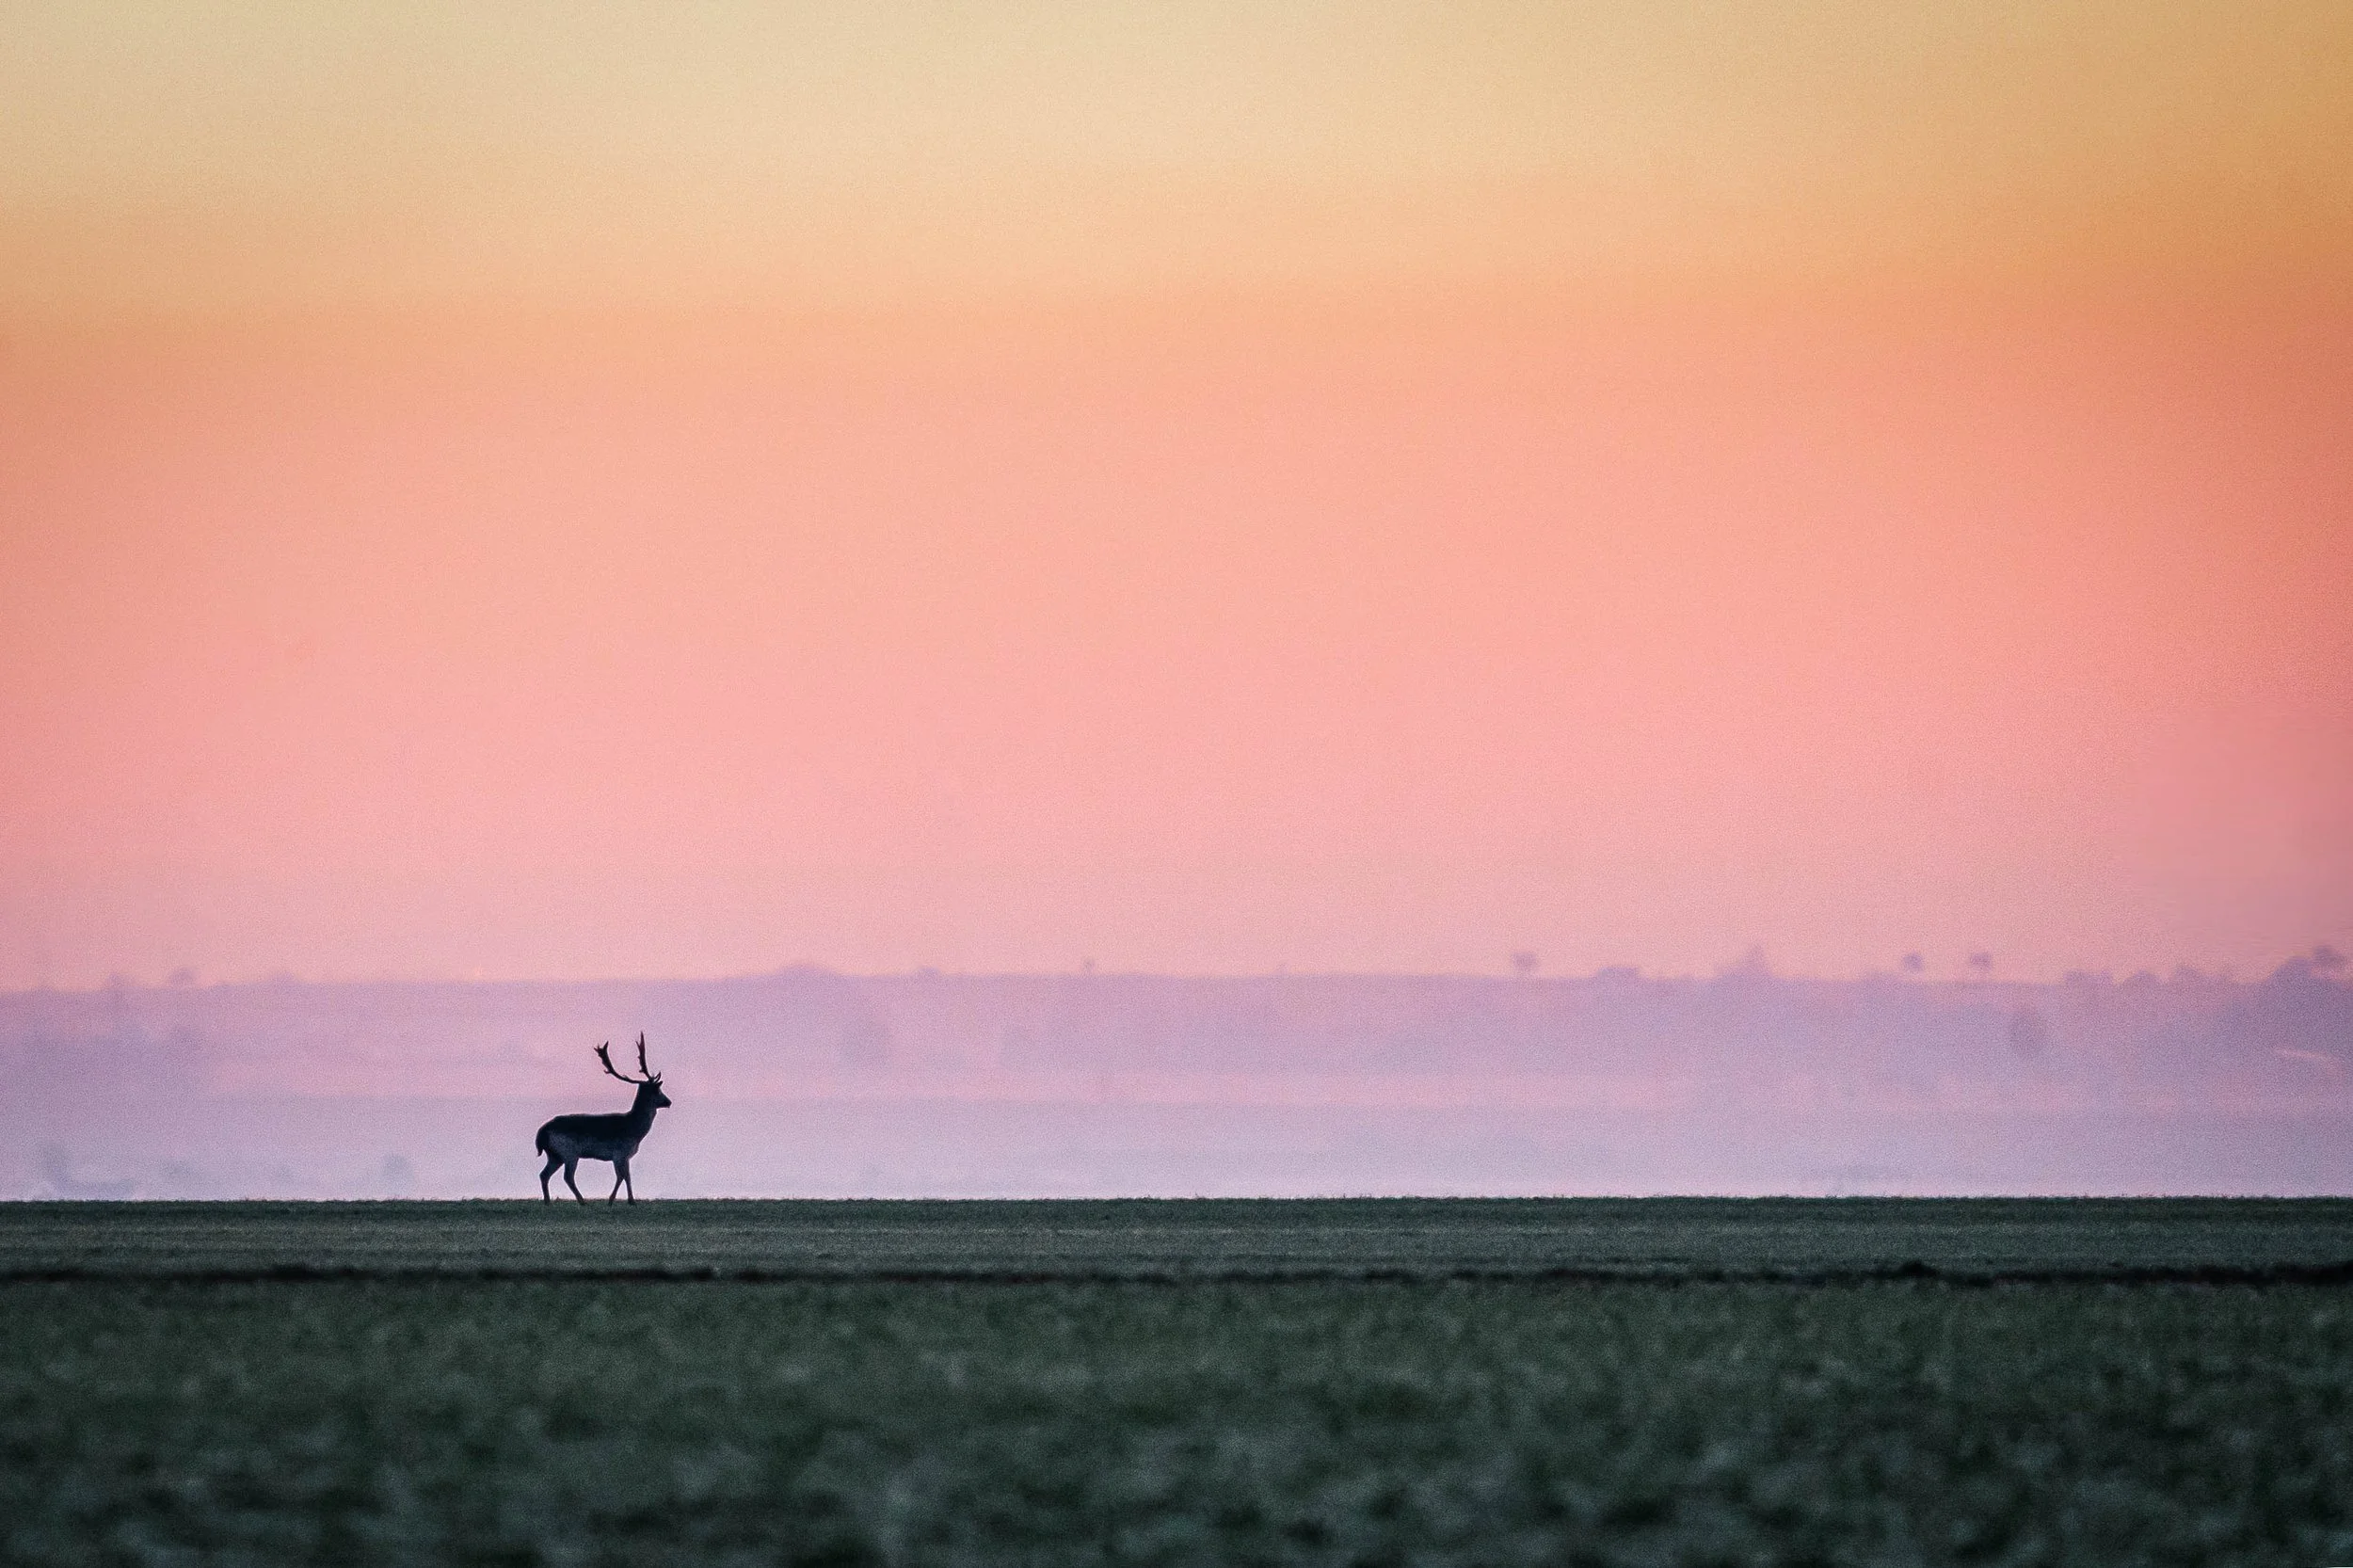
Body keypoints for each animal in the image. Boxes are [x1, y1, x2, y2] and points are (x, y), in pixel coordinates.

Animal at [535, 1034, 671, 1203]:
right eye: (657, 1090)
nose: (668, 1102)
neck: (635, 1132)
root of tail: (541, 1133)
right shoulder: (619, 1152)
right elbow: (622, 1176)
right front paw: (616, 1200)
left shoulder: (625, 1156)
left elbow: (627, 1176)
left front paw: (628, 1201)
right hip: (569, 1152)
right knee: (567, 1177)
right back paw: (582, 1201)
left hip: (554, 1155)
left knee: (544, 1174)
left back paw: (548, 1201)